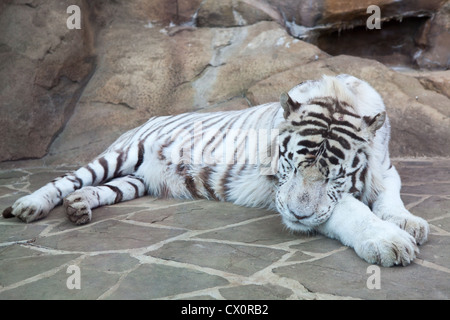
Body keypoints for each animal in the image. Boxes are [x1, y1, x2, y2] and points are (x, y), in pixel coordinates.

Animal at [2, 75, 428, 268]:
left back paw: (78, 207)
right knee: (66, 180)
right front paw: (390, 241)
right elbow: (350, 210)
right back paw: (30, 206)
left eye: (334, 175)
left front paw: (408, 222)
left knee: (99, 190)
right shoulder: (281, 192)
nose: (296, 215)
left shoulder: (386, 168)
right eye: (291, 165)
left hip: (134, 181)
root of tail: (150, 117)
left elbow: (390, 196)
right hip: (119, 155)